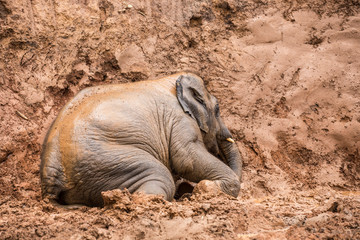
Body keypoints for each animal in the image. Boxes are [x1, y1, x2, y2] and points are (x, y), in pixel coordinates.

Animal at [39, 71, 243, 206]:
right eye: (217, 109)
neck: (173, 82)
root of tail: (51, 174)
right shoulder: (179, 121)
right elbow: (187, 159)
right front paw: (205, 188)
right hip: (106, 161)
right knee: (160, 177)